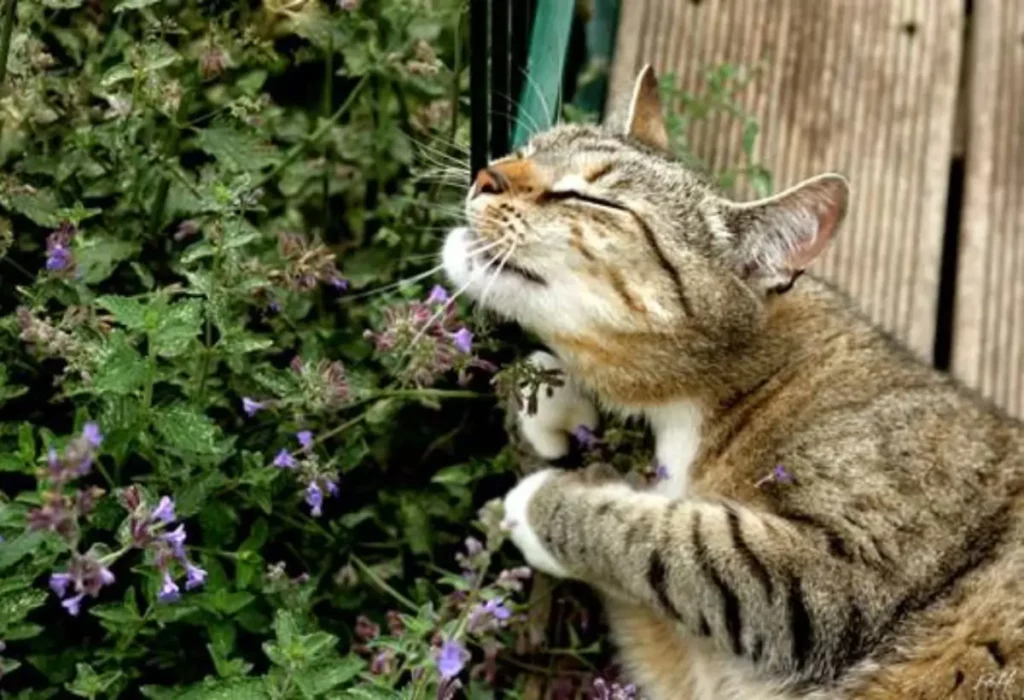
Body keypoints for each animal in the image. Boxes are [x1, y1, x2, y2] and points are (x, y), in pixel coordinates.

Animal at [442, 67, 1024, 700]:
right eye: (526, 151)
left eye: (591, 198)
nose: (487, 173)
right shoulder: (679, 664)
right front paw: (556, 405)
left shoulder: (835, 572)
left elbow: (666, 540)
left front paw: (540, 504)